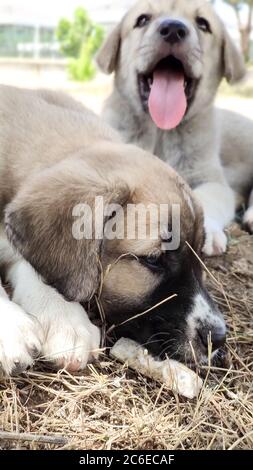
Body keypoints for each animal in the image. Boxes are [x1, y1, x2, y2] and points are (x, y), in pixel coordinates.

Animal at [97, 0, 253, 258]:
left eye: (203, 23)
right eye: (142, 19)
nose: (172, 29)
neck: (160, 133)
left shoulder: (211, 179)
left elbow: (206, 199)